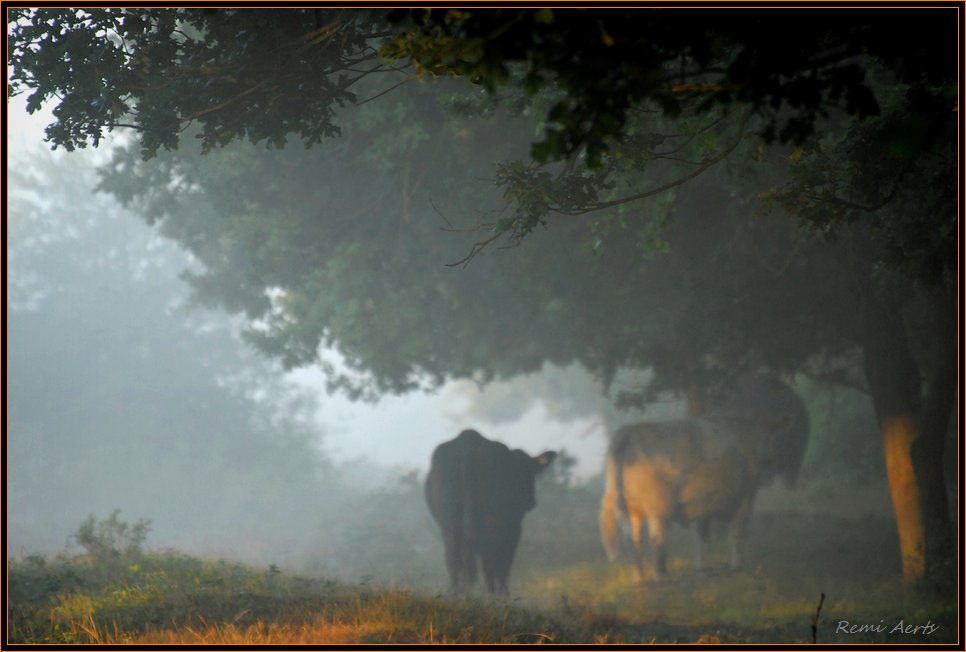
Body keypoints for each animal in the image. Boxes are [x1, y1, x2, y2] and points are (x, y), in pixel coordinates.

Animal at [428, 430, 556, 592]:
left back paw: (459, 591)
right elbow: (502, 564)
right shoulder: (513, 529)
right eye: (528, 475)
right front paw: (502, 593)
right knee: (485, 562)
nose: (531, 501)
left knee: (455, 560)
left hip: (450, 524)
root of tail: (468, 441)